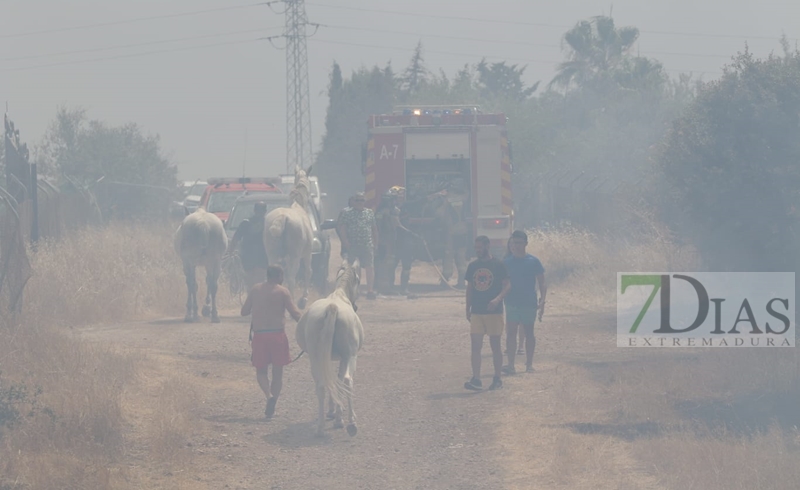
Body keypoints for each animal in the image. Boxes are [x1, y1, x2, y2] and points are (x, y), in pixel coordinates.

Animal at [262, 167, 312, 308]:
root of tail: (283, 217)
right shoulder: (307, 254)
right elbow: (308, 271)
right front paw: (304, 298)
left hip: (272, 255)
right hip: (294, 257)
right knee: (291, 278)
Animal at [296, 256, 366, 436]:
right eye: (358, 279)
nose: (356, 306)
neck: (339, 296)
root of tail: (332, 308)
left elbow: (333, 381)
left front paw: (333, 413)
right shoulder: (344, 358)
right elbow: (340, 380)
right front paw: (338, 416)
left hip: (315, 358)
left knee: (321, 385)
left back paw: (320, 428)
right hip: (350, 357)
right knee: (347, 381)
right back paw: (351, 423)